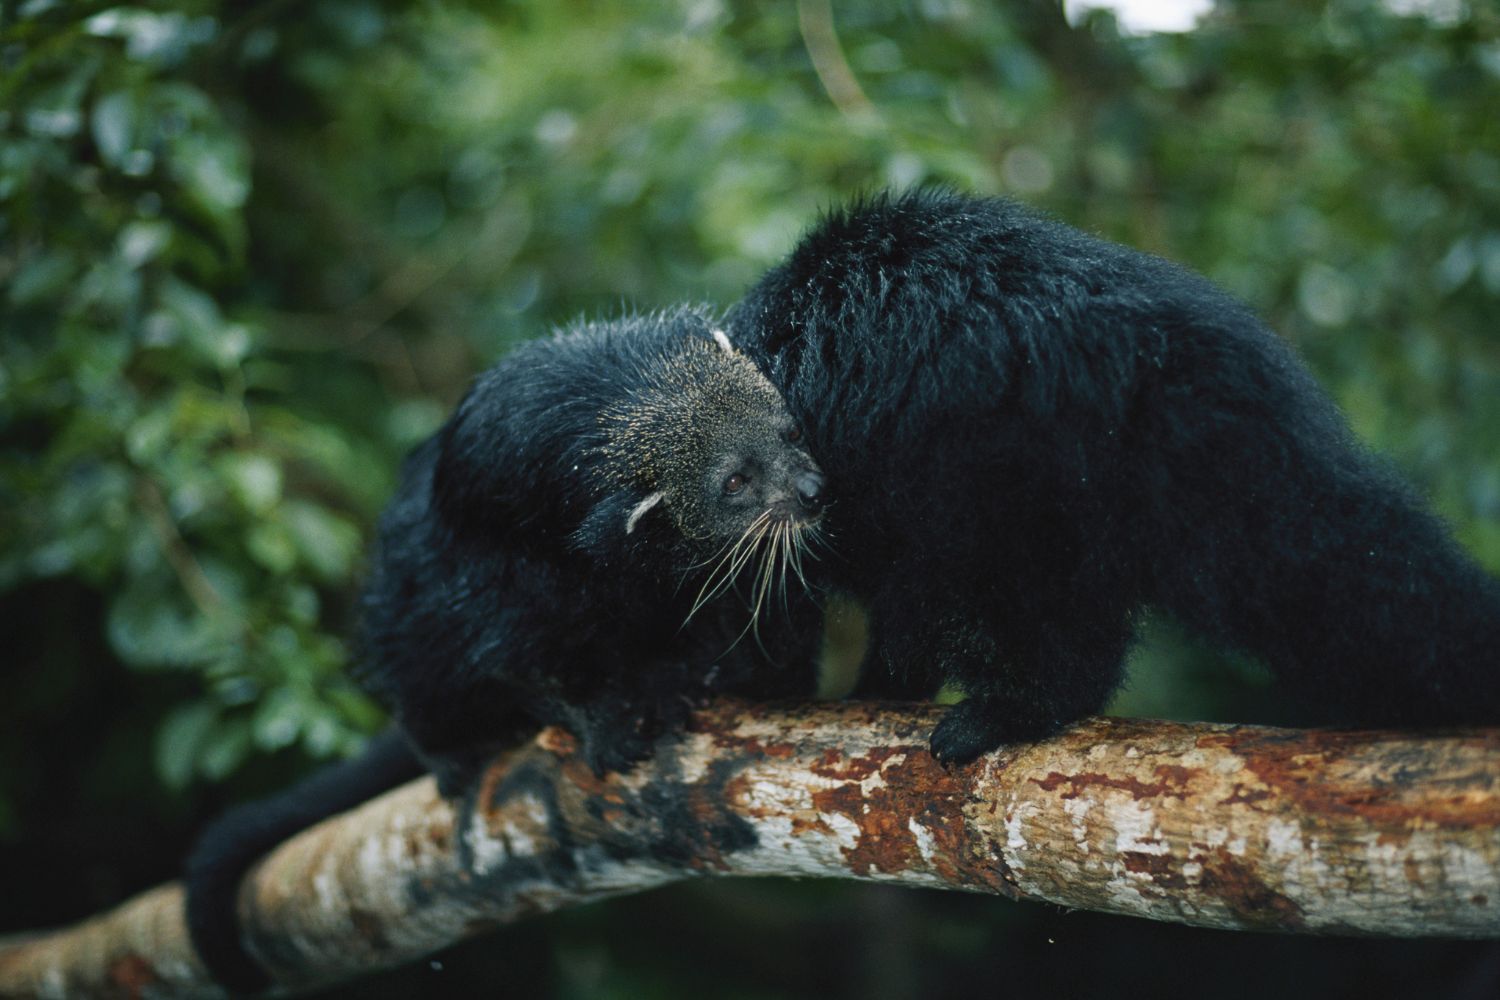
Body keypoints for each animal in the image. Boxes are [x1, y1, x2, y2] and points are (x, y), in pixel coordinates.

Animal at [186, 309, 827, 992]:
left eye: (790, 431)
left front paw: (683, 674)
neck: (627, 398)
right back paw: (451, 746)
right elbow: (518, 654)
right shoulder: (497, 568)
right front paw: (599, 720)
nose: (812, 490)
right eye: (735, 481)